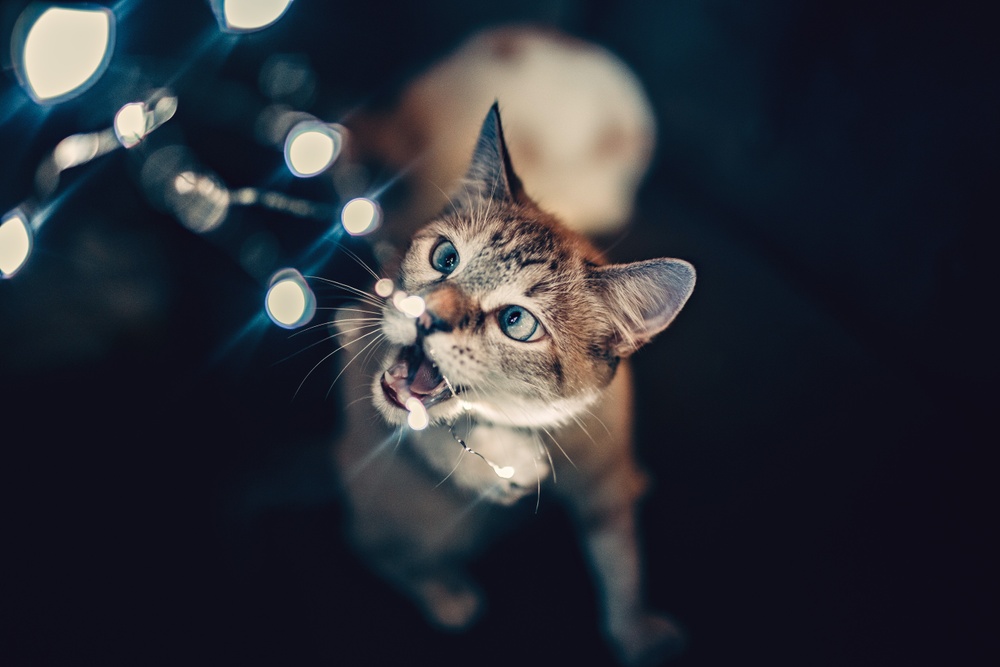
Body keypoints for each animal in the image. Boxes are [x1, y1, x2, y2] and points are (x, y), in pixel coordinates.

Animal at [328, 102, 696, 664]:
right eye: (445, 258)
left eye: (517, 322)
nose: (425, 317)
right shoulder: (357, 337)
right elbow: (420, 427)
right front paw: (502, 465)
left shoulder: (602, 477)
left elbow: (622, 563)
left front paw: (636, 634)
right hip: (408, 518)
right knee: (376, 545)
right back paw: (444, 591)